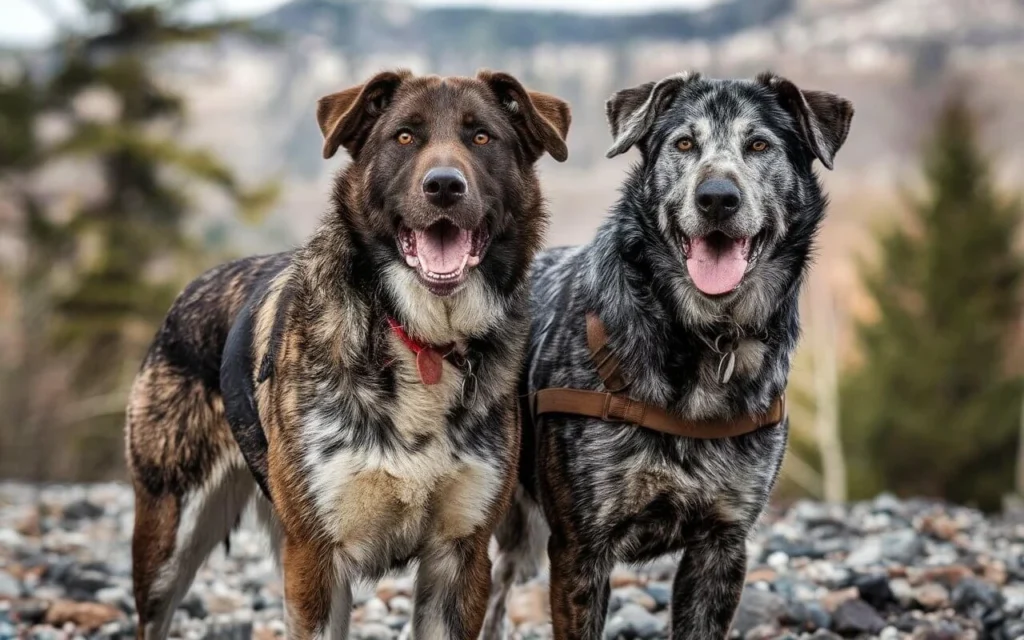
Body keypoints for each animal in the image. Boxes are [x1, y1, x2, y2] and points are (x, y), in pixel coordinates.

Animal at [124, 67, 573, 634]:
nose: (444, 186)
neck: (417, 334)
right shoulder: (317, 558)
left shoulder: (460, 558)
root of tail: (188, 292)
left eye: (481, 136)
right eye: (403, 137)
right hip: (168, 535)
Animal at [483, 72, 851, 634]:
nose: (716, 197)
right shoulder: (579, 550)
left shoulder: (721, 545)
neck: (701, 334)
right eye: (683, 144)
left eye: (759, 145)